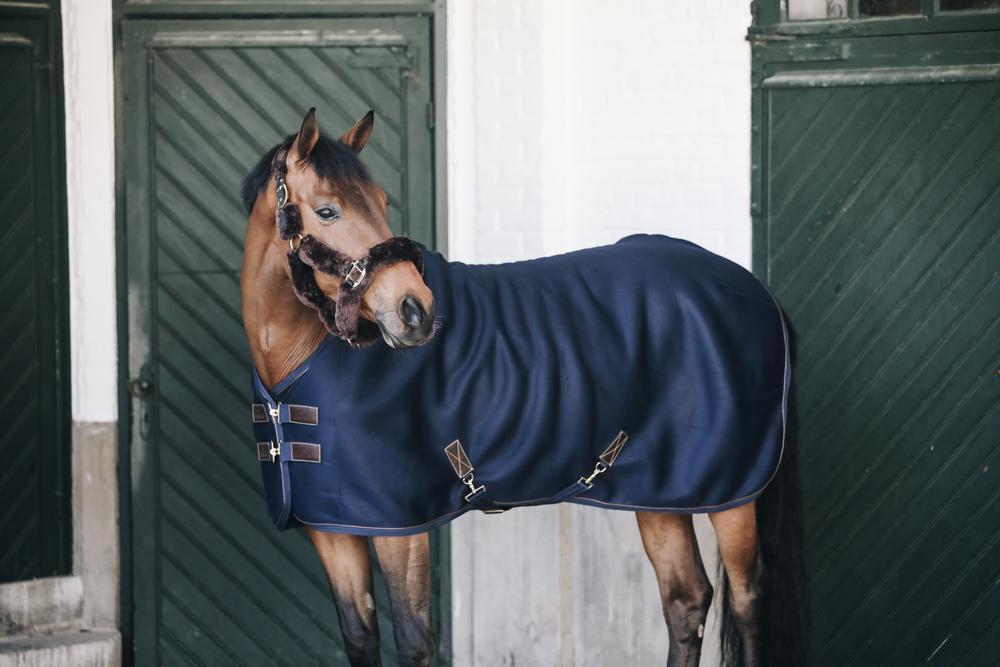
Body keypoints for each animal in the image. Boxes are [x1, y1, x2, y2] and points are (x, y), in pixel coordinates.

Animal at [239, 108, 809, 666]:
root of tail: (754, 290)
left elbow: (414, 638)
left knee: (747, 603)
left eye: (380, 203)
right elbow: (360, 637)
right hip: (659, 491)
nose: (416, 312)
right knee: (685, 599)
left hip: (732, 498)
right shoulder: (333, 528)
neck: (301, 362)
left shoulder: (401, 530)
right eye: (328, 211)